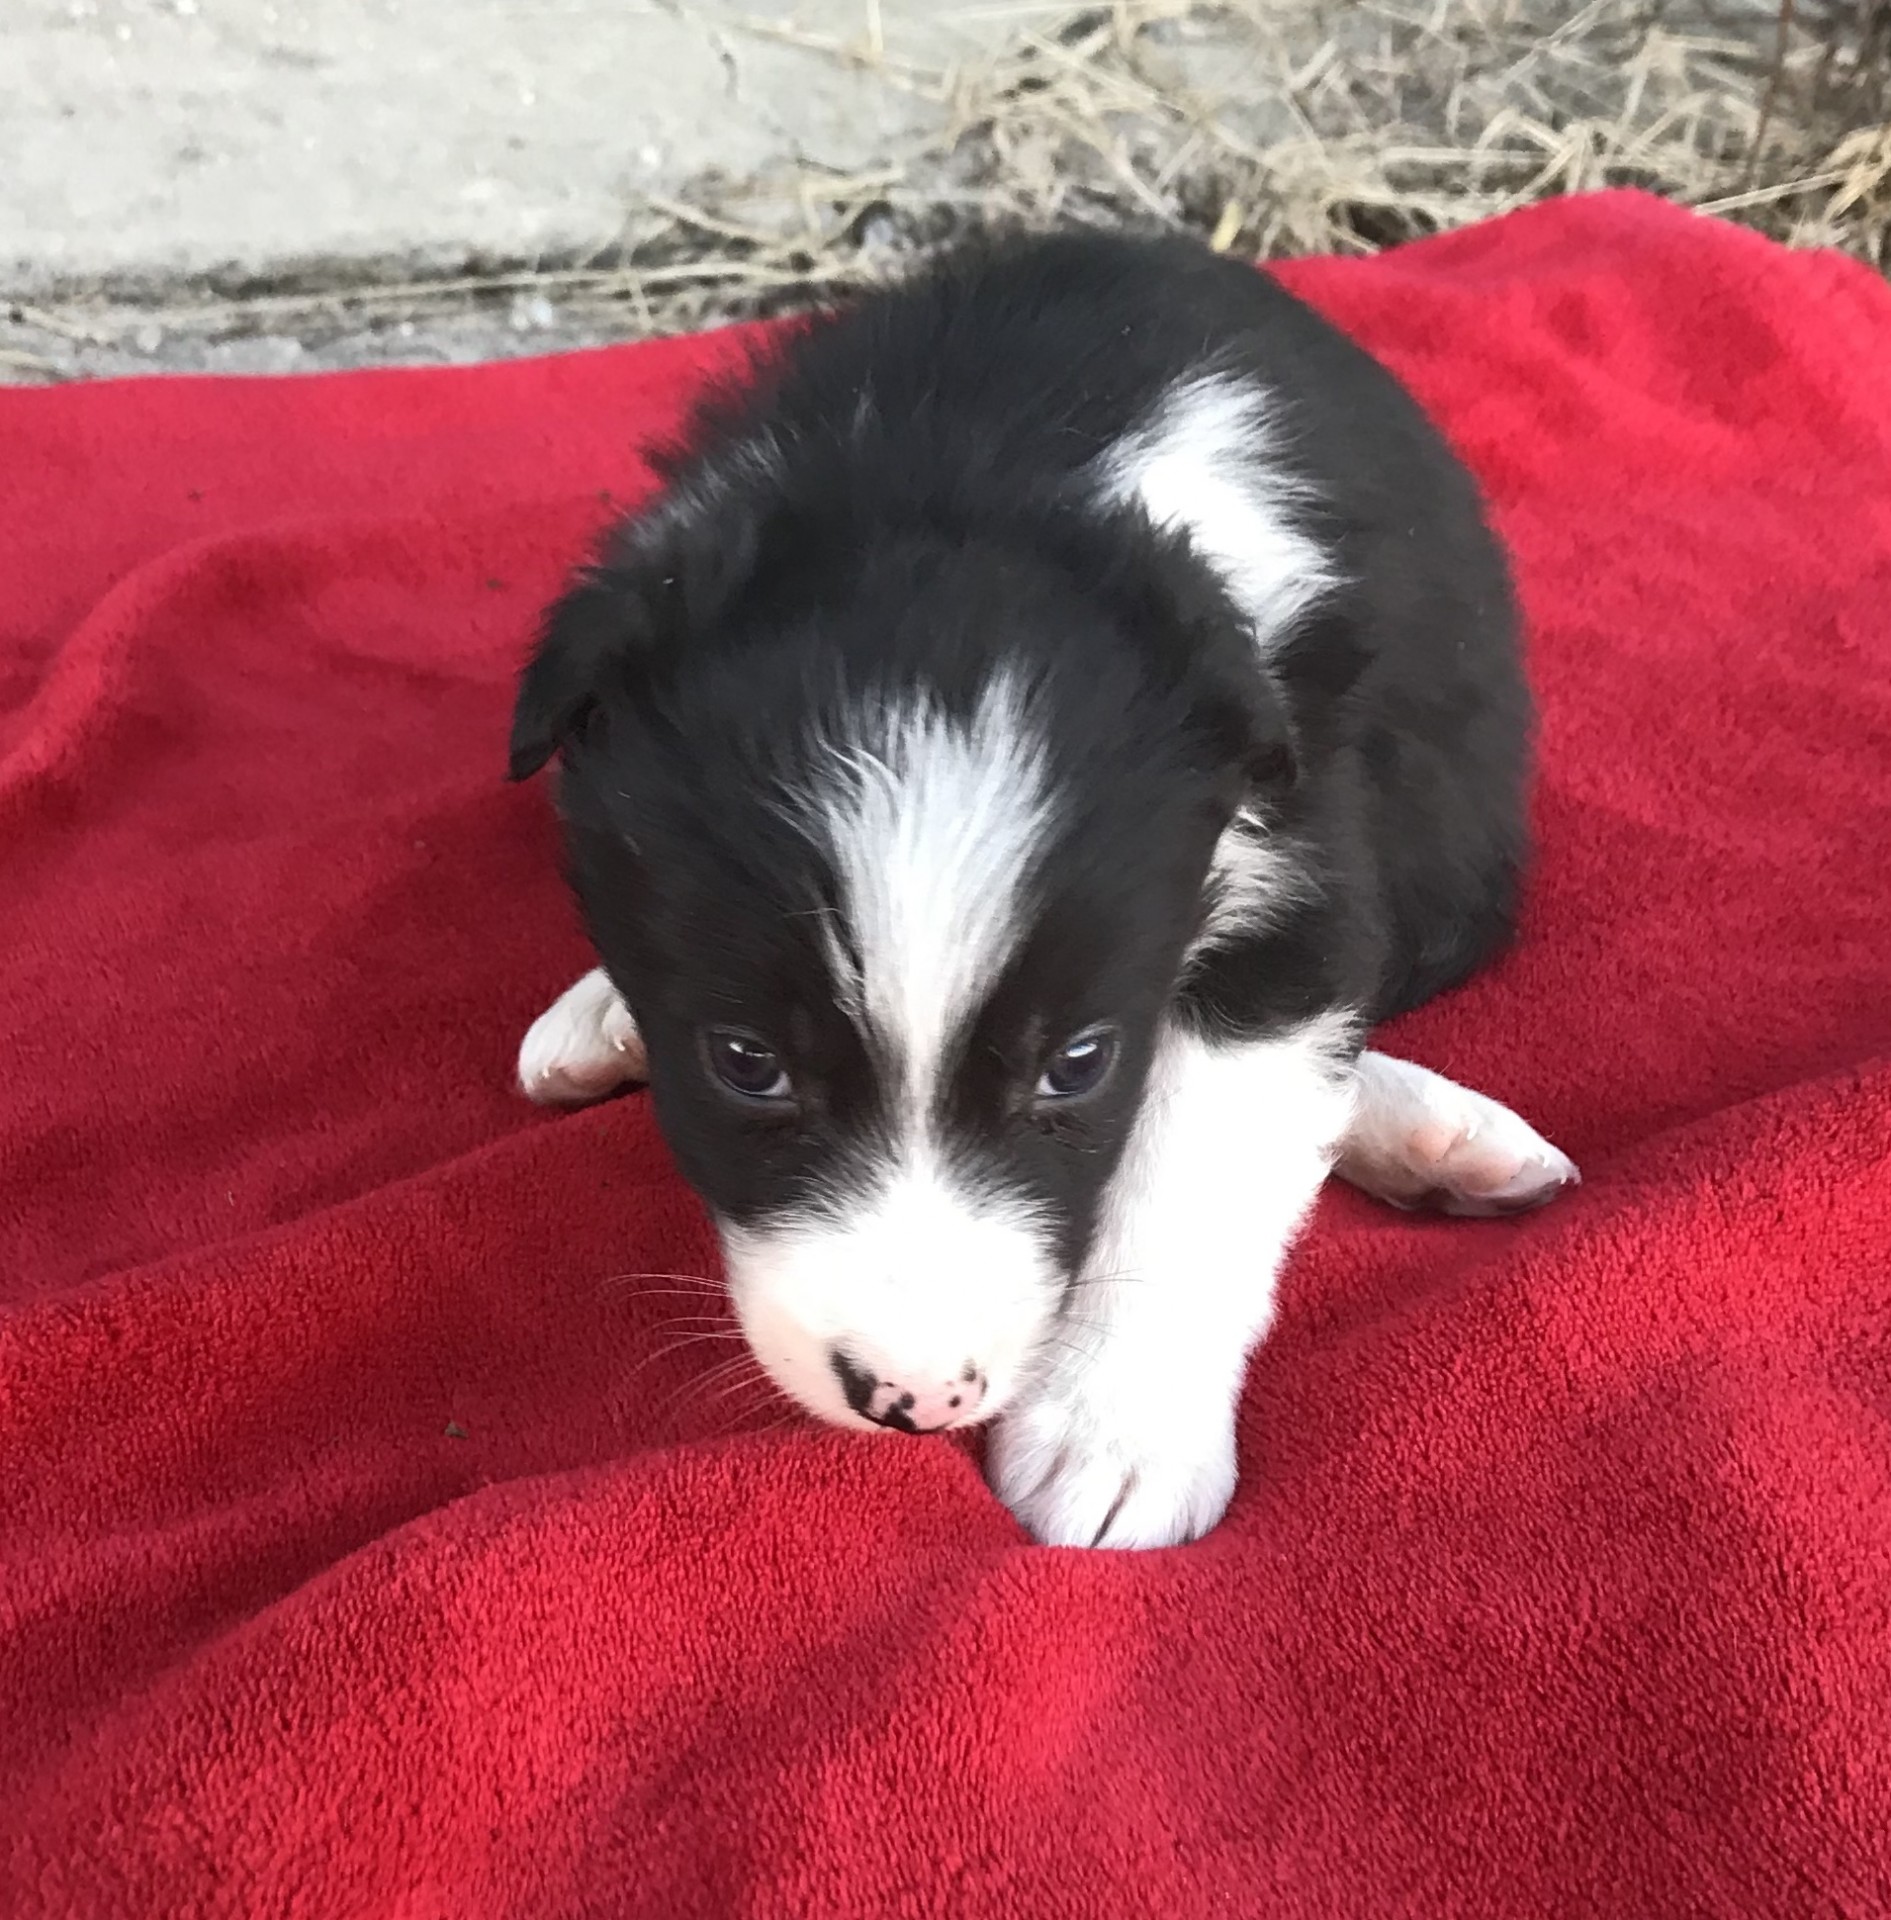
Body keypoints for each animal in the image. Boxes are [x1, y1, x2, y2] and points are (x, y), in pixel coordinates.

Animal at [506, 228, 1581, 1543]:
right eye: (744, 1063)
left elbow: (1195, 1157)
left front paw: (1114, 1438)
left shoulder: (1293, 878)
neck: (964, 474)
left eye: (1074, 1064)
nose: (917, 1399)